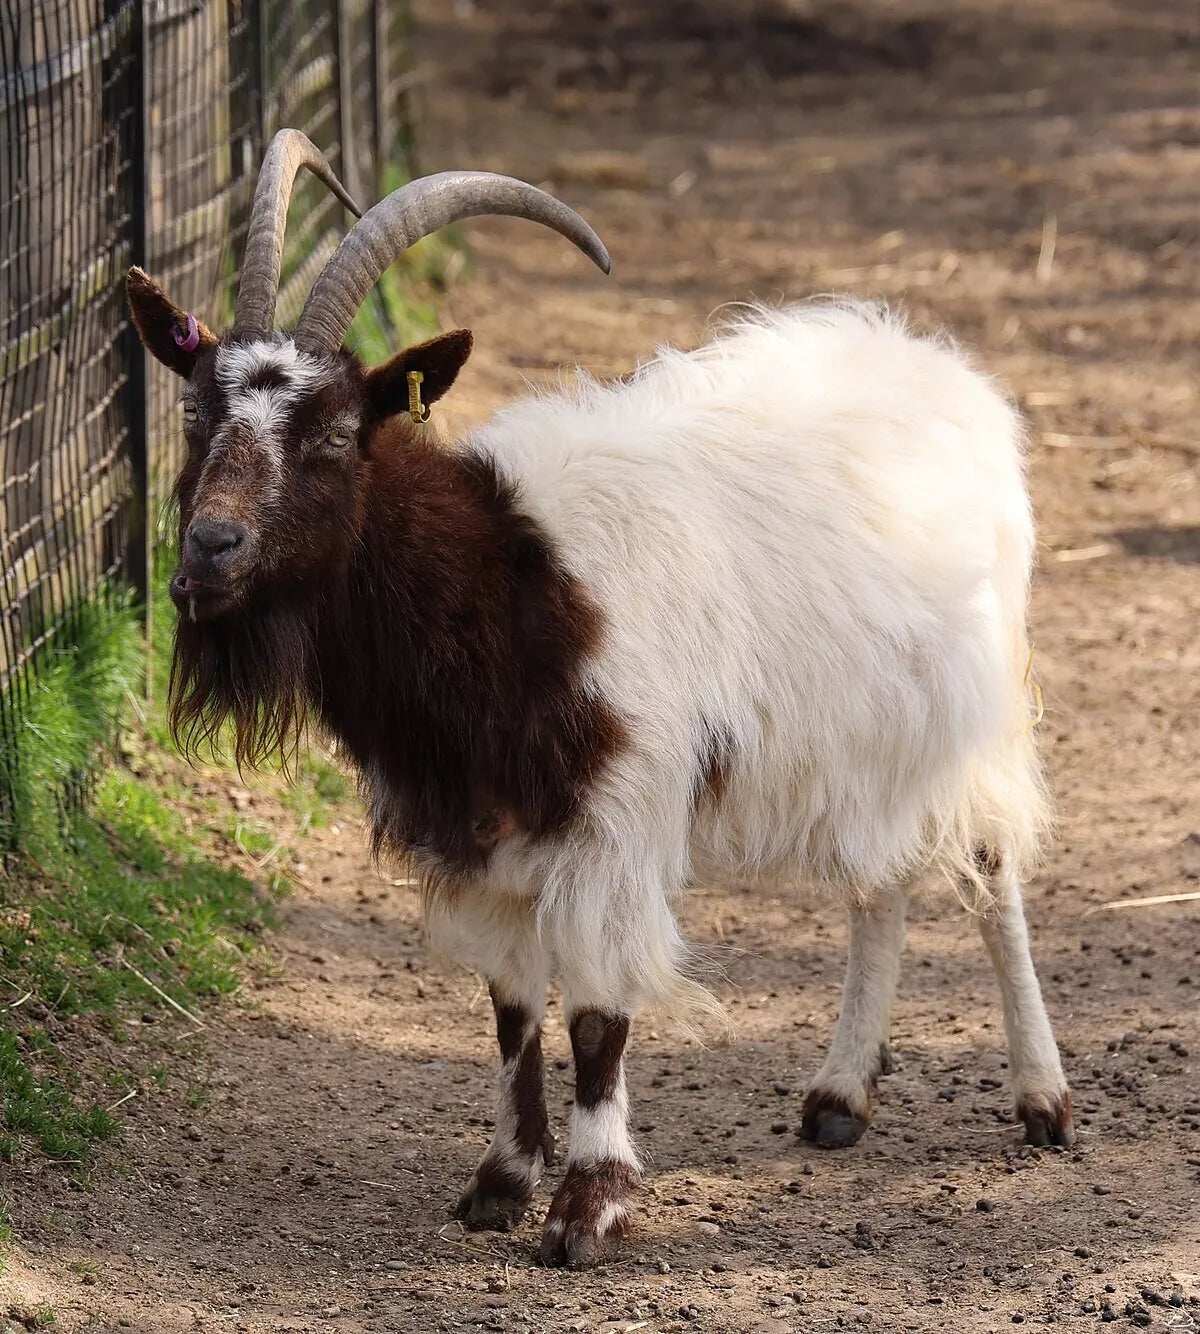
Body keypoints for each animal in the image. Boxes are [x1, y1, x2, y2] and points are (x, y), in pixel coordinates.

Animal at [126, 129, 1075, 1270]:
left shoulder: (614, 816)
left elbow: (595, 1014)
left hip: (970, 710)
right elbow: (510, 1005)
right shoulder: (480, 822)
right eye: (196, 418)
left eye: (334, 436)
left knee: (989, 868)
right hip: (866, 732)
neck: (505, 581)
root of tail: (944, 370)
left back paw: (1042, 1102)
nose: (209, 554)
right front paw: (499, 1180)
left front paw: (588, 1207)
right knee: (880, 884)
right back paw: (838, 1097)